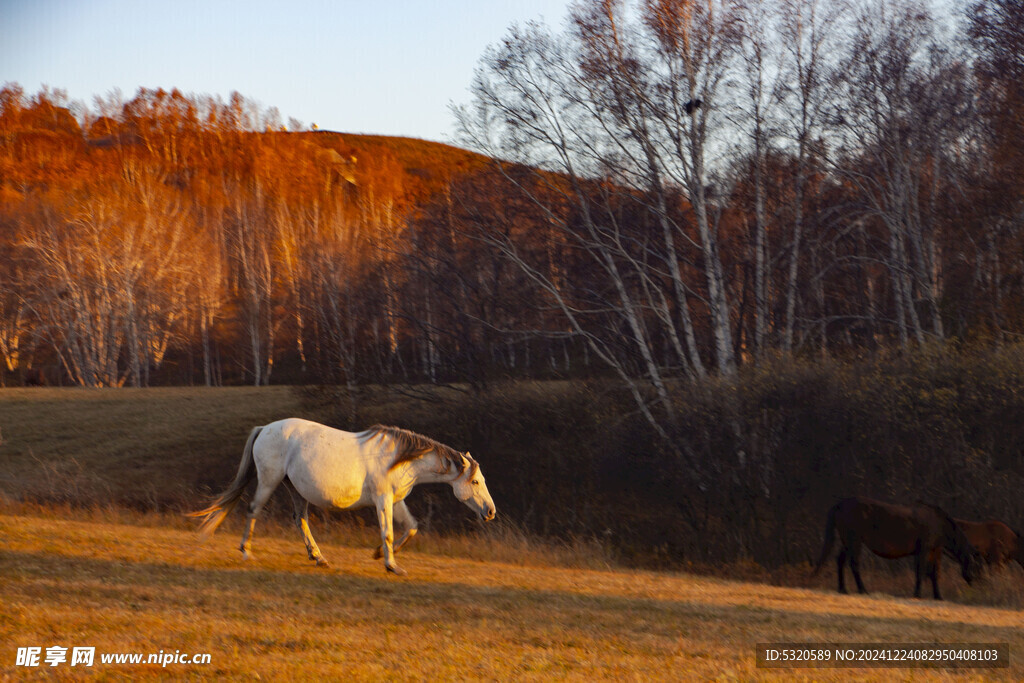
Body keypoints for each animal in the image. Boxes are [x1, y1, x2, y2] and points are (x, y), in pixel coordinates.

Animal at [192, 419, 499, 573]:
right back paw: (246, 552)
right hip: (269, 480)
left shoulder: (396, 500)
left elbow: (411, 528)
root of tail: (264, 429)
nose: (490, 511)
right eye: (474, 481)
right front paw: (391, 565)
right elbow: (388, 532)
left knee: (300, 519)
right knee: (254, 509)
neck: (399, 459)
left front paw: (379, 555)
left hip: (295, 488)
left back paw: (319, 557)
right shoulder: (383, 500)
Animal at [811, 497, 978, 598]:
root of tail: (840, 504)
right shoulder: (924, 550)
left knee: (840, 561)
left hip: (847, 543)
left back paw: (843, 589)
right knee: (854, 564)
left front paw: (937, 596)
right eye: (975, 566)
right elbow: (922, 572)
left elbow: (933, 573)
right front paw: (917, 594)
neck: (939, 523)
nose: (976, 583)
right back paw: (862, 590)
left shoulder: (932, 551)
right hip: (854, 542)